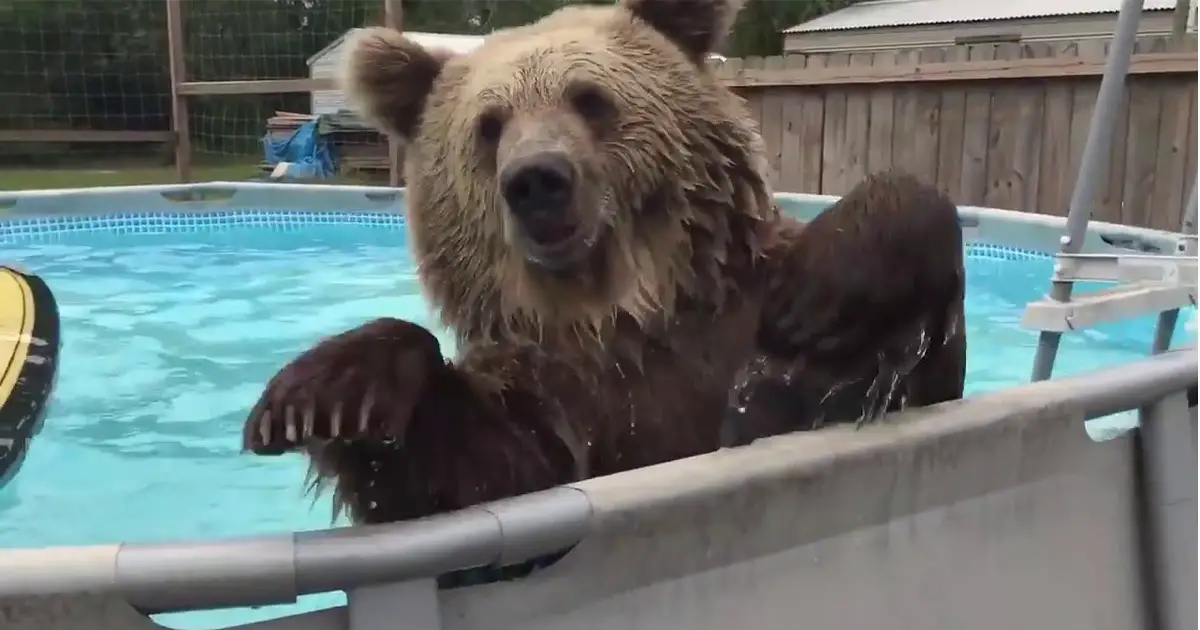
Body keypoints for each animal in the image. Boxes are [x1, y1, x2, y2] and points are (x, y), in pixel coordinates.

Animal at [241, 0, 964, 523]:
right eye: (489, 125)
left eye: (589, 97)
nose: (537, 181)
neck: (626, 307)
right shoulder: (571, 399)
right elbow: (478, 470)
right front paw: (326, 395)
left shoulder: (736, 322)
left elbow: (892, 361)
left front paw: (825, 298)